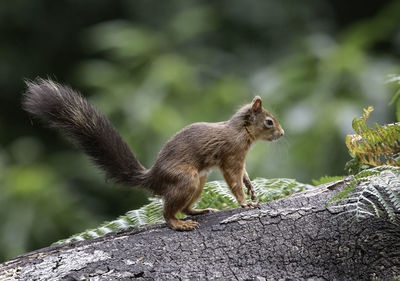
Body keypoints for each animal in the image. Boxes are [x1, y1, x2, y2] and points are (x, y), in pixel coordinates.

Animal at [22, 78, 284, 230]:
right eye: (269, 122)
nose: (282, 133)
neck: (240, 131)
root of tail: (153, 177)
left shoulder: (239, 161)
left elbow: (245, 176)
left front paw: (251, 189)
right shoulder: (231, 156)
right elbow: (234, 181)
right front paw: (244, 202)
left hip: (199, 182)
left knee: (184, 207)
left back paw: (199, 211)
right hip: (186, 179)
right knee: (166, 212)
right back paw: (178, 224)